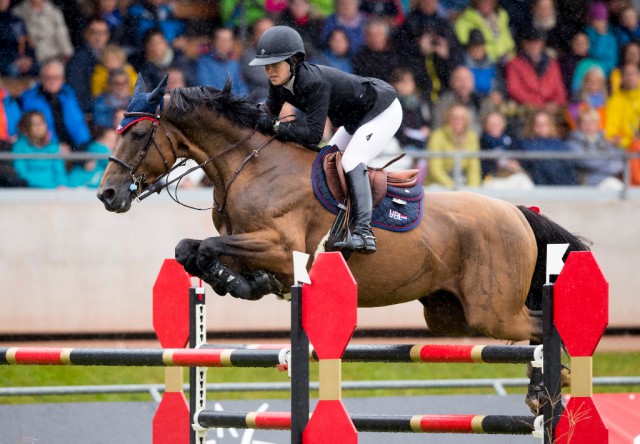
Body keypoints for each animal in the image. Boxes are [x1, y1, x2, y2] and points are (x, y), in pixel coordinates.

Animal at [99, 77, 592, 412]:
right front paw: (241, 283)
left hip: (492, 311)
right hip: (450, 316)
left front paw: (241, 281)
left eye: (138, 134)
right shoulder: (248, 244)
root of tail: (517, 212)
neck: (249, 166)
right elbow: (190, 249)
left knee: (539, 327)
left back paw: (549, 390)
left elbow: (204, 248)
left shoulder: (281, 249)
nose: (107, 194)